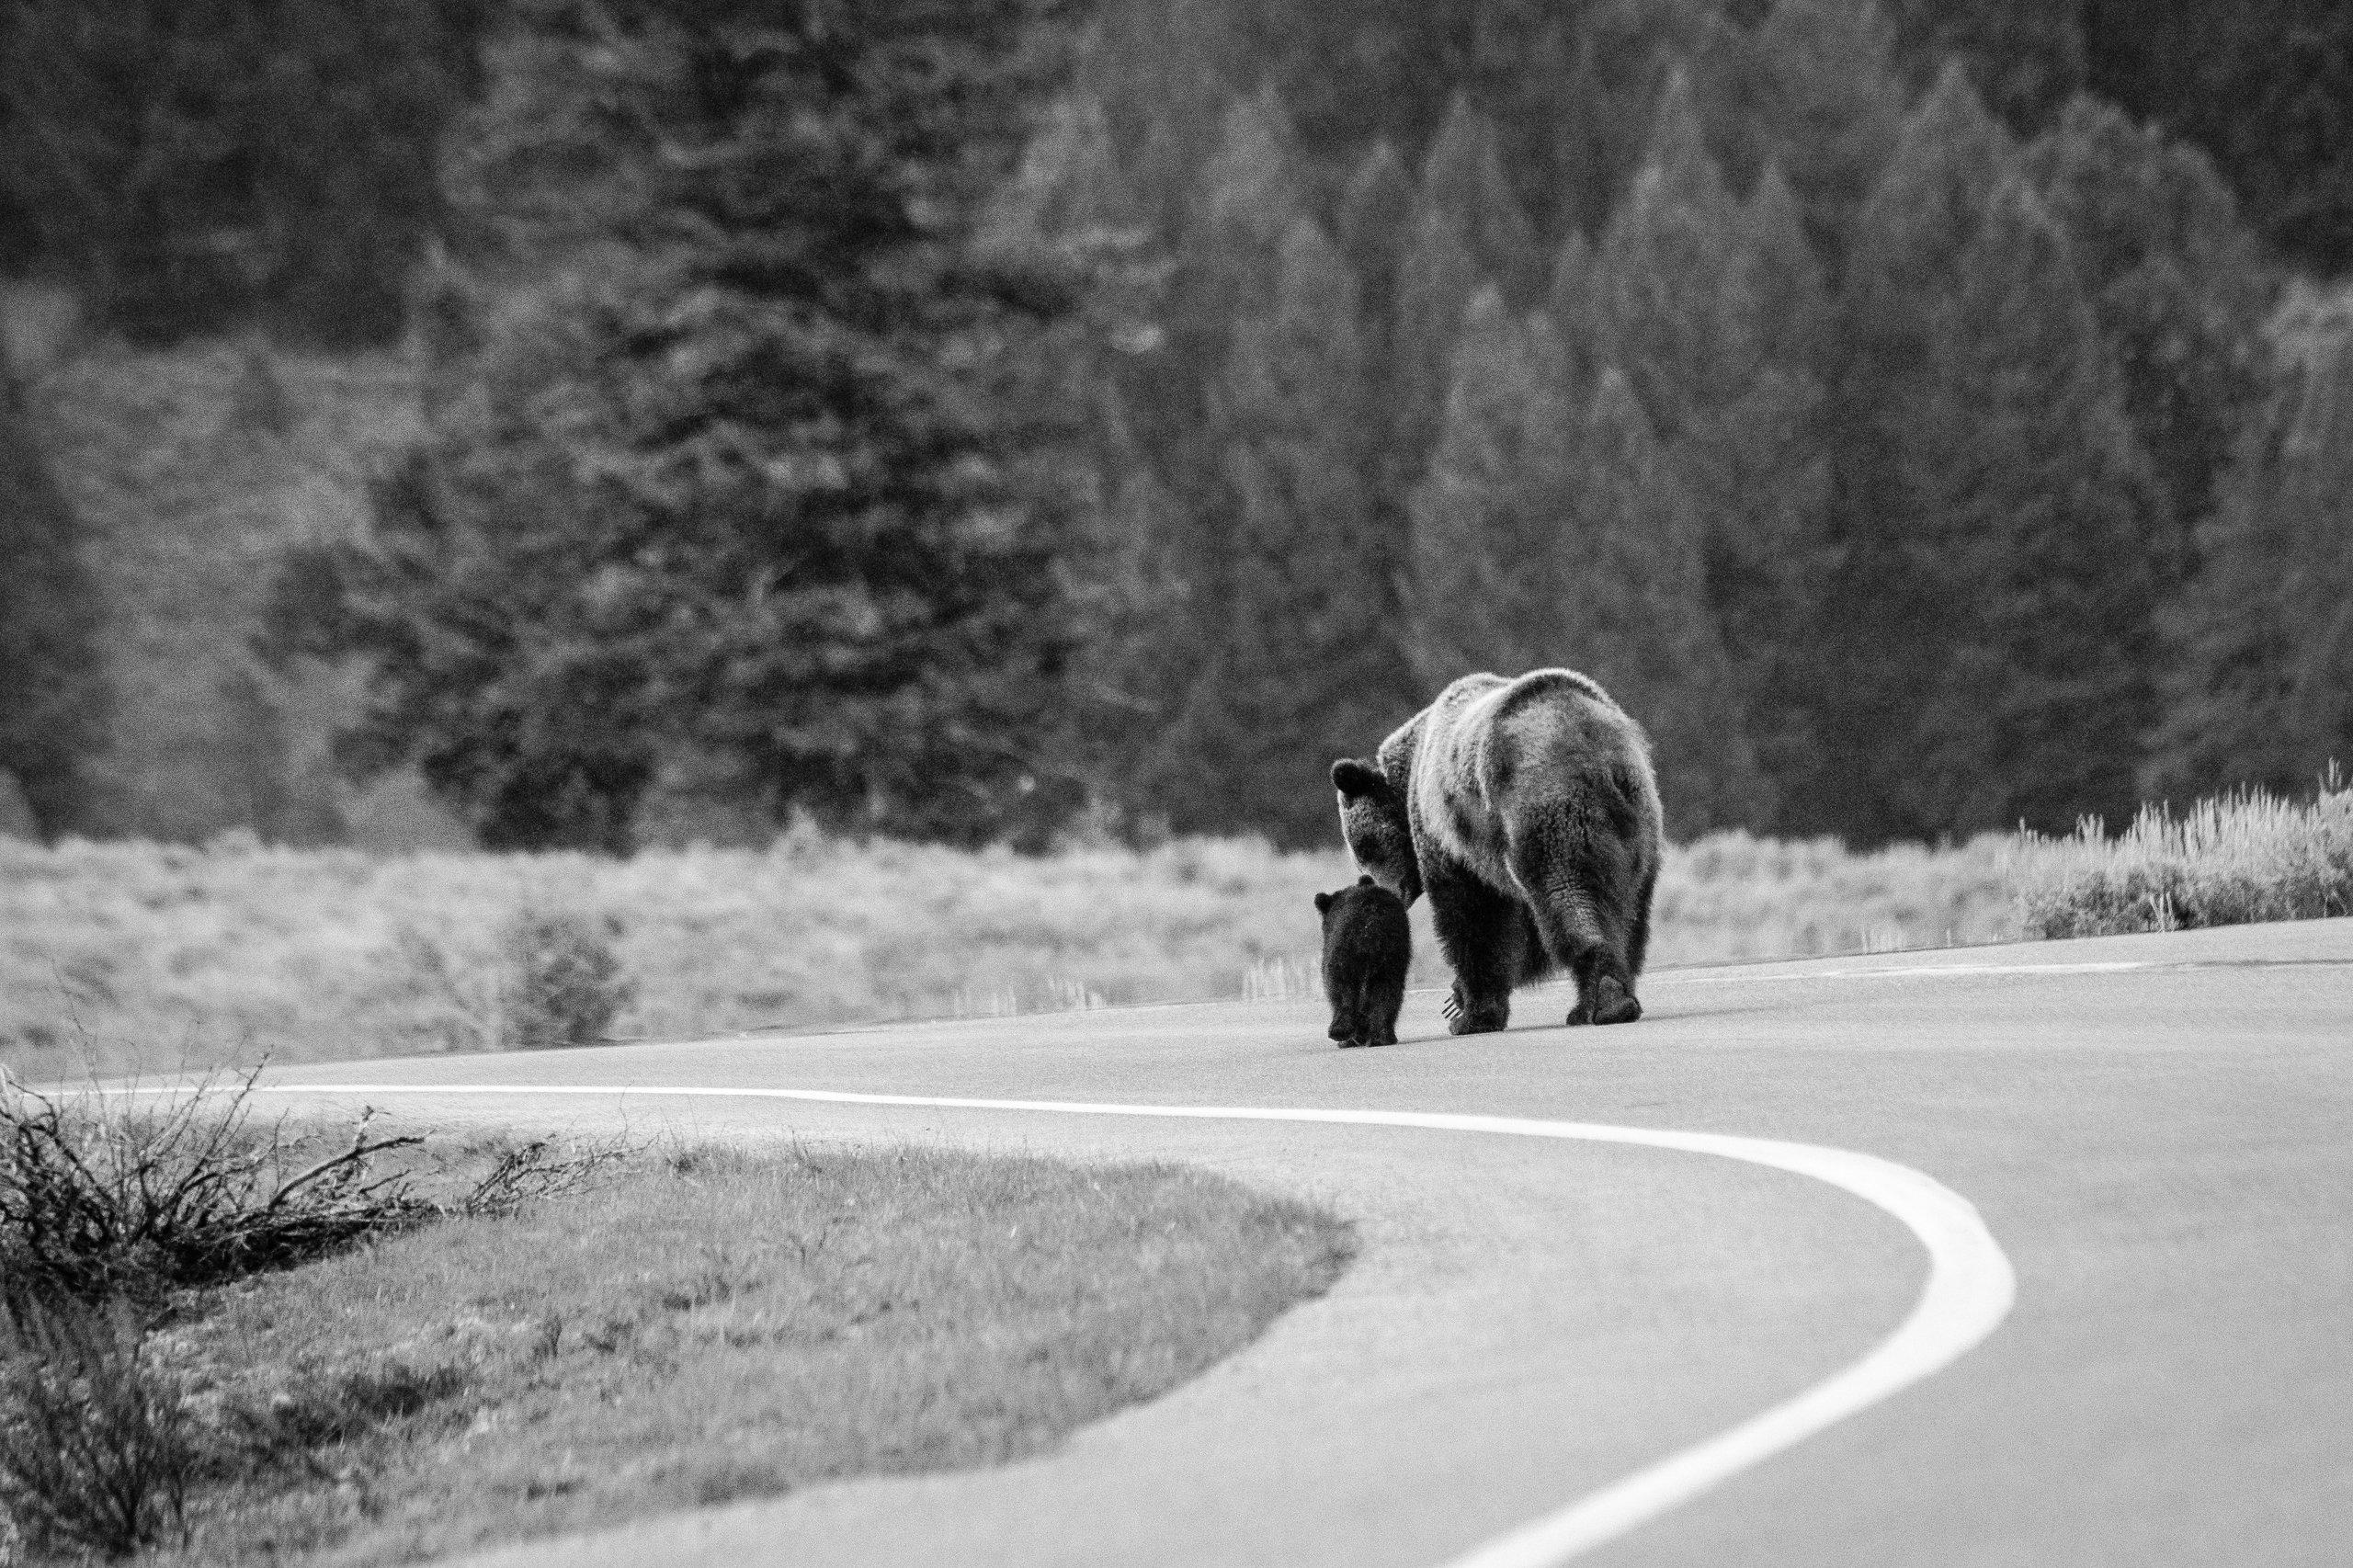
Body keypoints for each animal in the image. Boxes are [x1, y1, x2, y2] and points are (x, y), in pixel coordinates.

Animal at [1314, 875, 1411, 1048]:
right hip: (1392, 953)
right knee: (1387, 988)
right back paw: (1381, 1036)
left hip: (1343, 950)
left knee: (1339, 986)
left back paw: (1341, 1033)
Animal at [1330, 669, 1662, 1034]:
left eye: (1364, 848)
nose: (1383, 892)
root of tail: (1589, 737)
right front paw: (1460, 1000)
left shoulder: (1452, 837)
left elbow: (1474, 918)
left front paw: (1468, 1013)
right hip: (1637, 824)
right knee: (1631, 912)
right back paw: (1613, 995)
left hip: (1540, 806)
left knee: (1567, 893)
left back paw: (1602, 999)